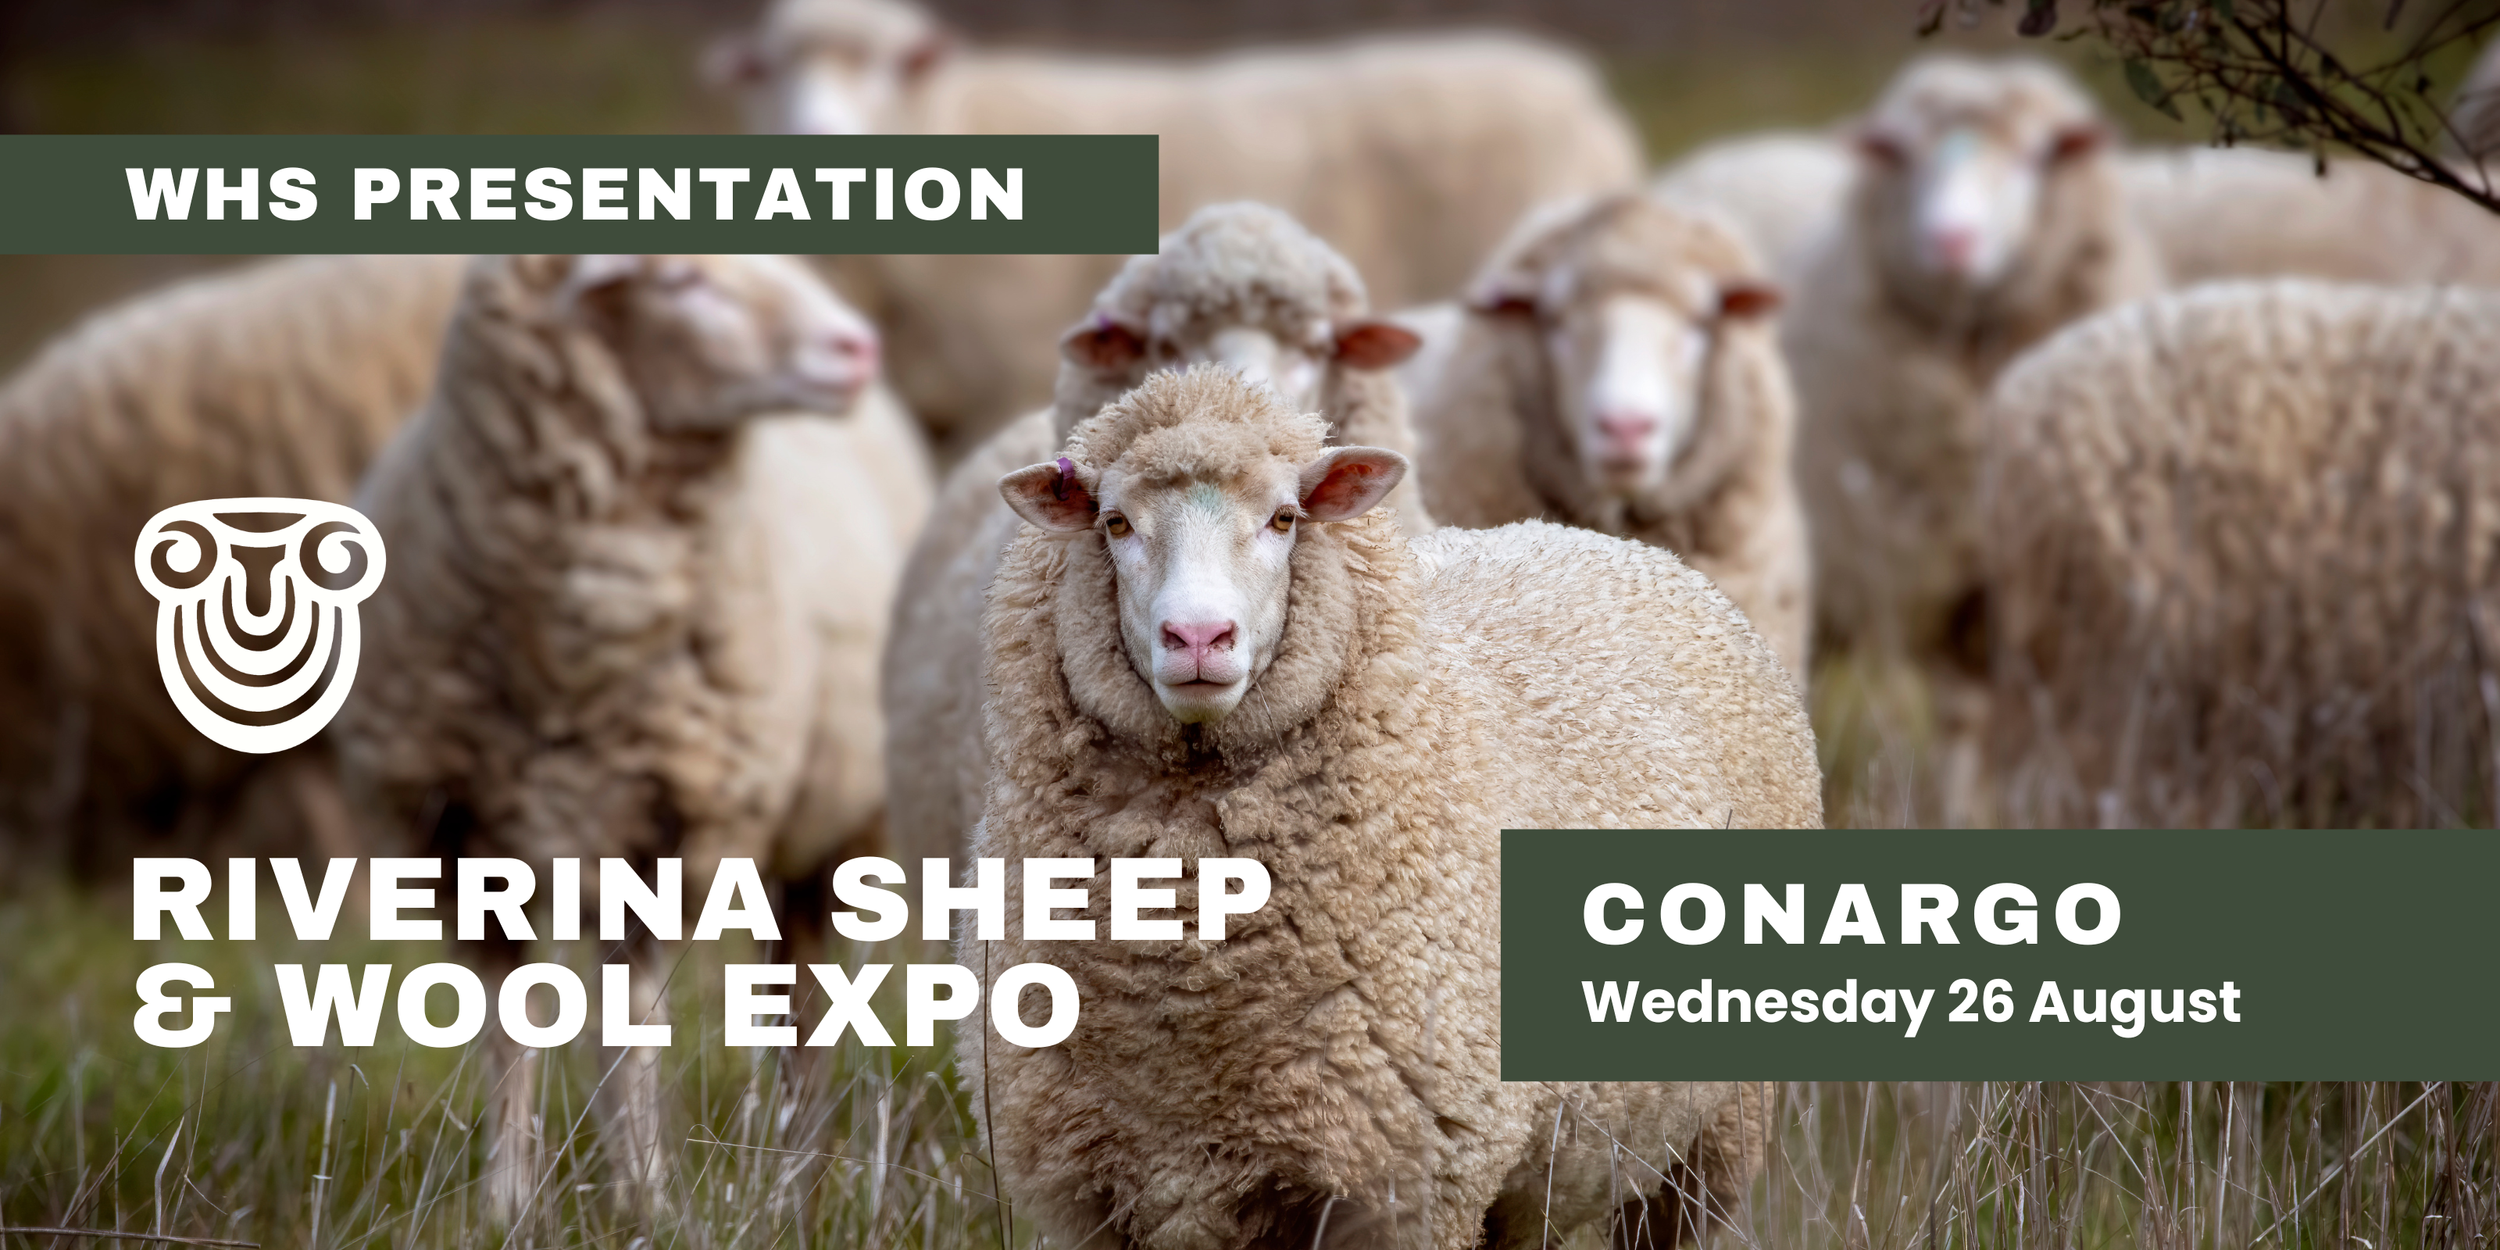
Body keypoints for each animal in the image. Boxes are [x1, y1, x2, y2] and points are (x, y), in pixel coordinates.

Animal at [333, 252, 923, 1221]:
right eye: (680, 280)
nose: (858, 348)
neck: (573, 652)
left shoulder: (669, 833)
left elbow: (628, 1027)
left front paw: (646, 1198)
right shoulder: (457, 844)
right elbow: (510, 1028)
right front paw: (507, 1200)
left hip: (825, 833)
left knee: (806, 1002)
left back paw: (798, 1171)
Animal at [962, 365, 1817, 1250]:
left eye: (1284, 517)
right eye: (1116, 521)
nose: (1199, 638)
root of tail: (1606, 543)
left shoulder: (1408, 1185)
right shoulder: (1093, 1195)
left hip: (1716, 1136)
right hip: (1540, 1169)